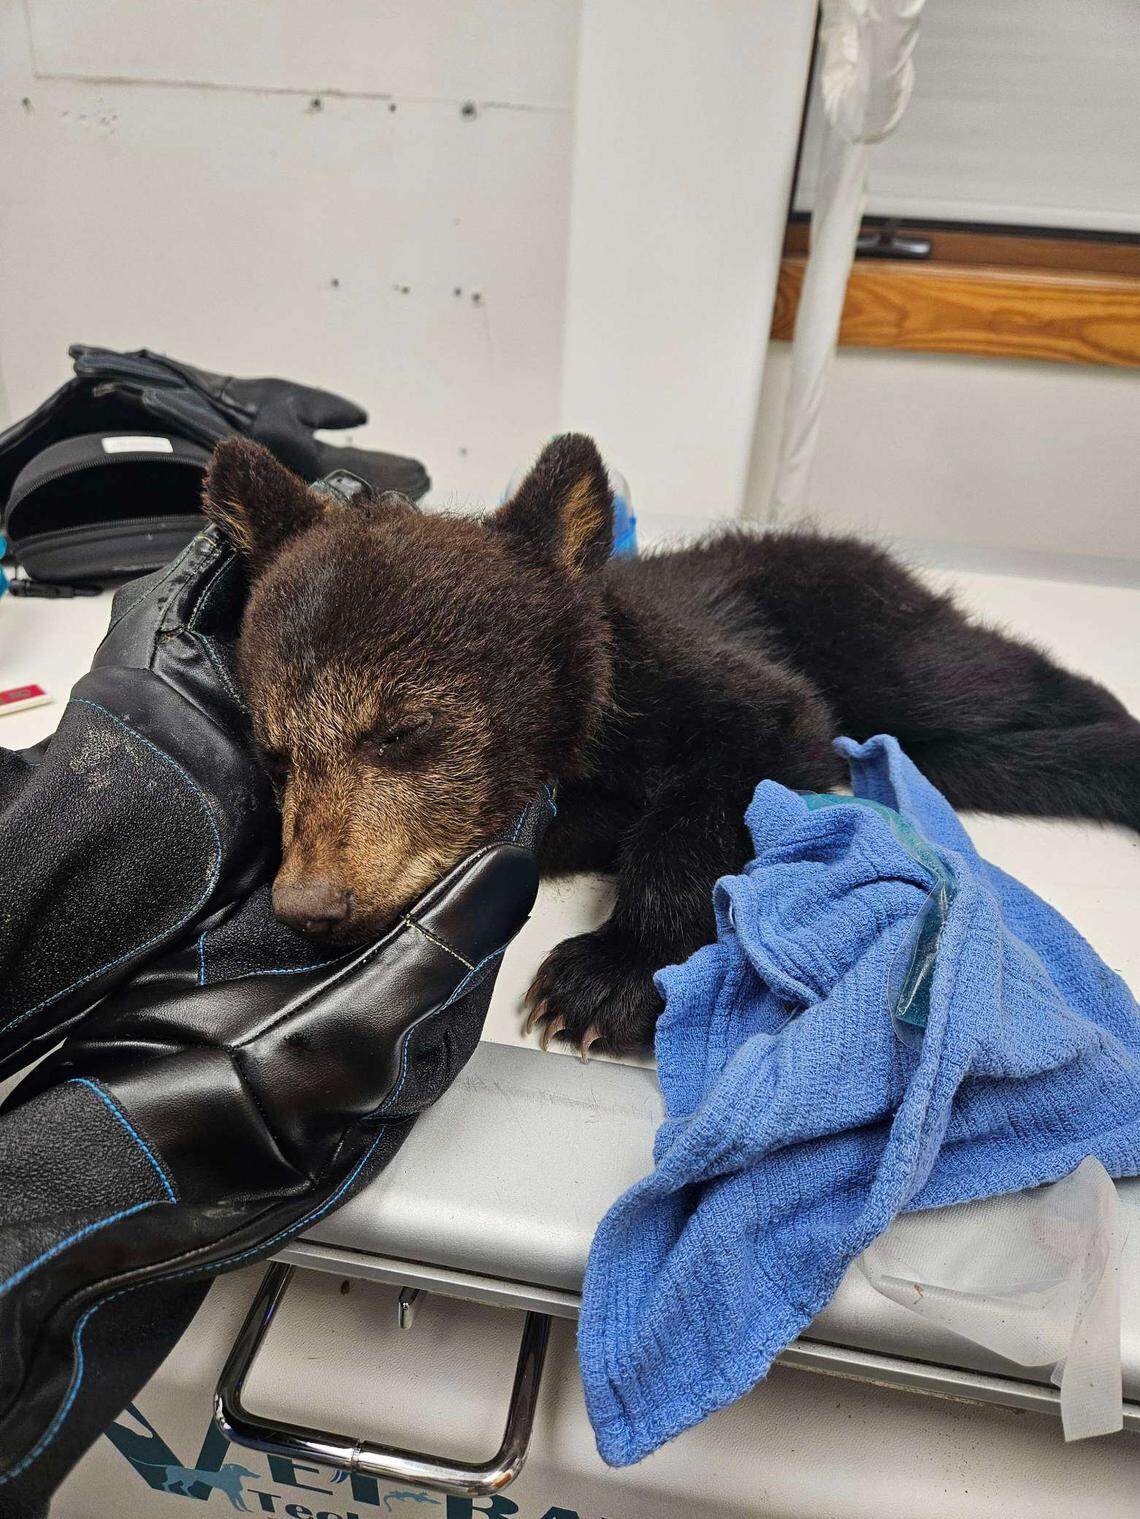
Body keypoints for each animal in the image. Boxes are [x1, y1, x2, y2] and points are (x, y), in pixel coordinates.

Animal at [202, 433, 1140, 1054]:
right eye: (277, 754)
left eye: (402, 730)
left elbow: (752, 747)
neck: (579, 740)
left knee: (978, 680)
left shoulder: (691, 677)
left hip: (868, 631)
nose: (310, 903)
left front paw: (603, 976)